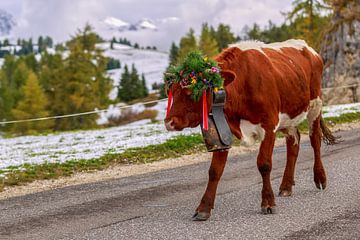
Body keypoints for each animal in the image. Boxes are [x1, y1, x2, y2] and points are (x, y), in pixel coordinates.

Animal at [165, 39, 336, 221]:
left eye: (191, 91)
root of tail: (307, 47)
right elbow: (215, 170)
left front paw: (268, 202)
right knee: (294, 143)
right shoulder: (222, 130)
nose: (169, 122)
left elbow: (264, 164)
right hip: (289, 117)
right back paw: (286, 186)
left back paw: (320, 178)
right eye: (171, 91)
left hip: (315, 105)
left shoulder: (269, 125)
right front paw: (204, 208)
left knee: (315, 140)